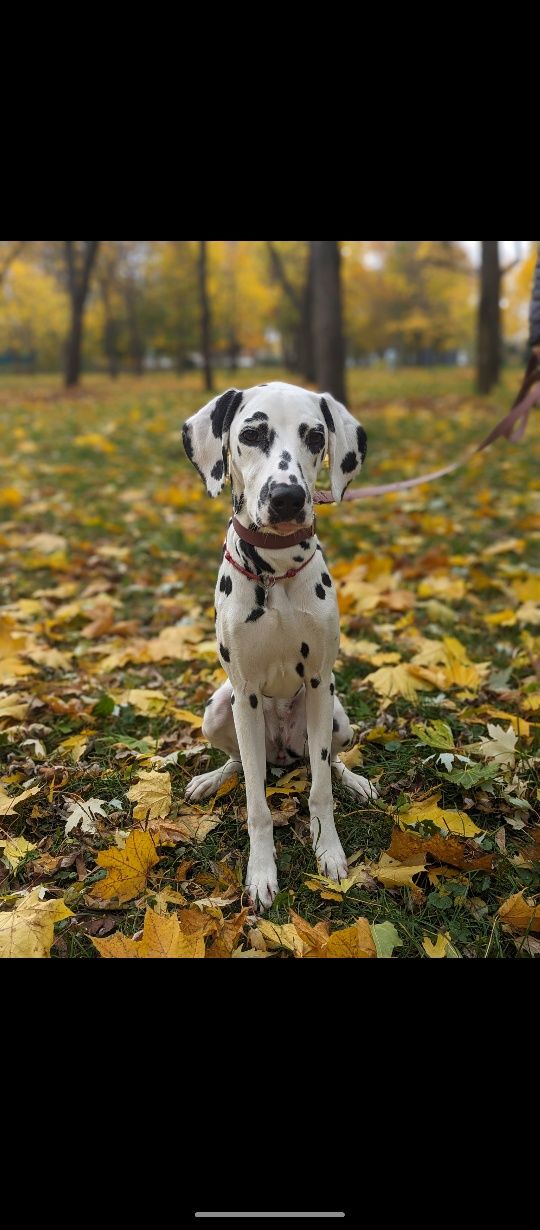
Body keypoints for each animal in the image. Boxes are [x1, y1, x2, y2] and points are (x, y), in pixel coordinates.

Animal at [182, 378, 376, 910]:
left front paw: (328, 851)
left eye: (315, 436)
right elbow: (256, 804)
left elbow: (320, 791)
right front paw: (262, 871)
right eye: (251, 434)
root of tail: (285, 754)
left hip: (335, 715)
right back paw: (211, 778)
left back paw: (355, 781)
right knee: (239, 761)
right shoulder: (245, 693)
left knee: (328, 761)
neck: (275, 567)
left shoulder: (318, 683)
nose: (287, 497)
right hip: (219, 709)